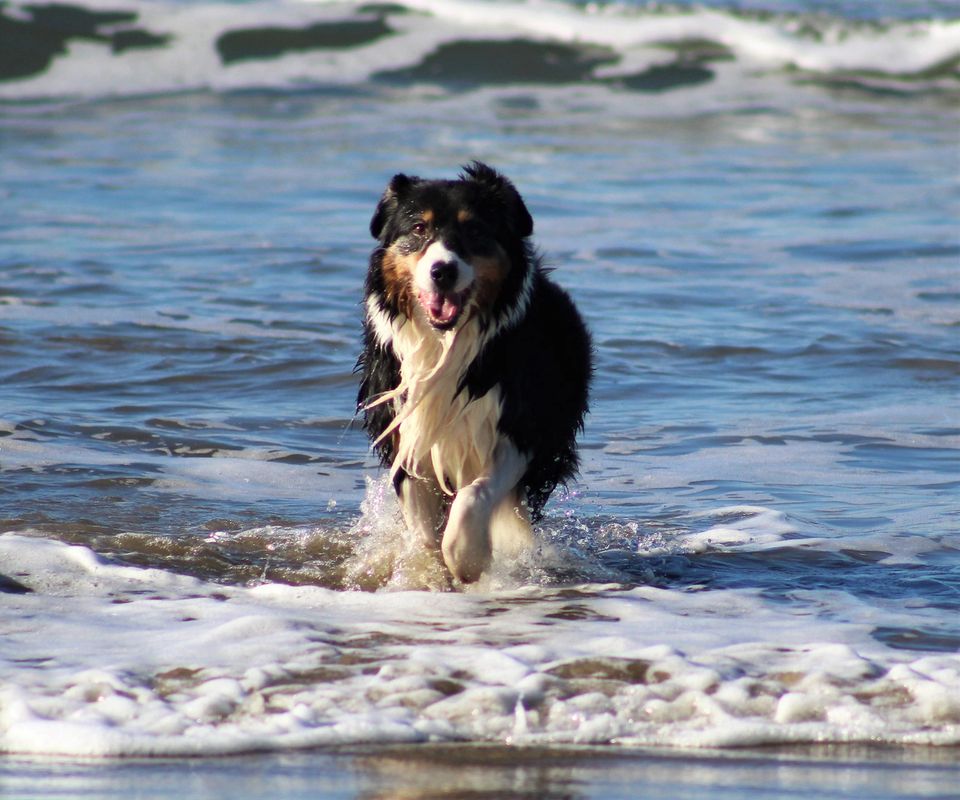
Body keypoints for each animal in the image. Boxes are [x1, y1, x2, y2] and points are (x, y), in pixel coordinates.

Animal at [356, 162, 588, 584]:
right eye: (419, 228)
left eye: (476, 230)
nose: (442, 271)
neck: (444, 344)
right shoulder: (404, 429)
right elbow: (423, 532)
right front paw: (426, 571)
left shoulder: (522, 427)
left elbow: (474, 496)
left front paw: (468, 557)